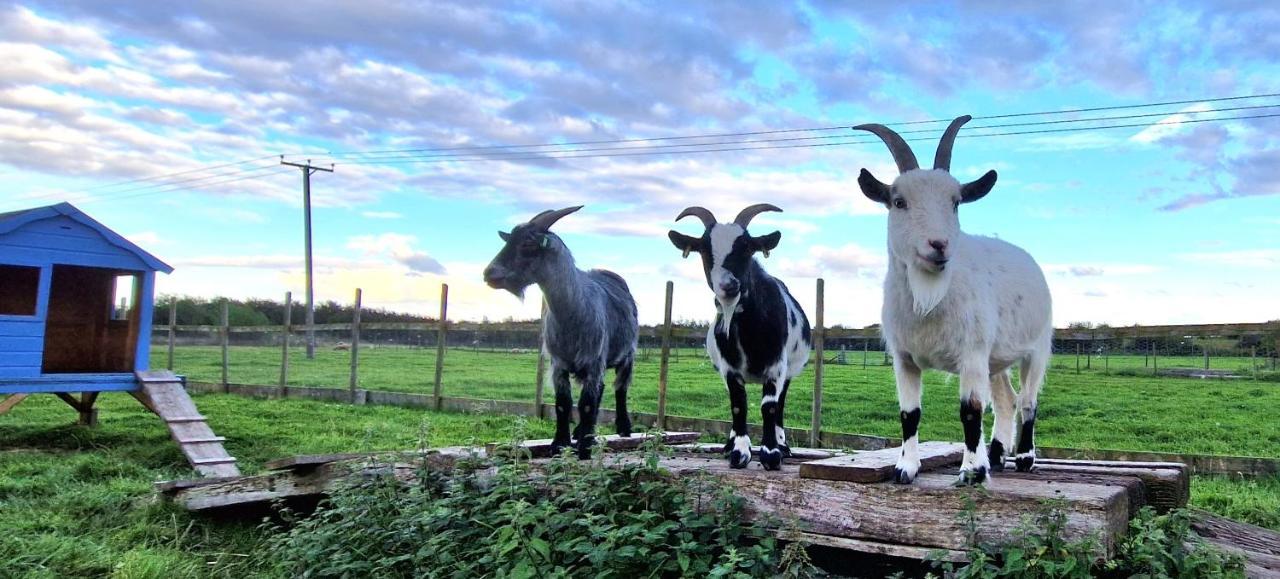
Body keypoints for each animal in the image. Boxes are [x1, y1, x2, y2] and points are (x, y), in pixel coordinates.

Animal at [481, 206, 640, 458]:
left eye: (527, 243)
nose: (489, 273)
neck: (572, 316)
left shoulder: (594, 360)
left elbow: (586, 403)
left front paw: (585, 448)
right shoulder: (558, 363)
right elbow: (563, 404)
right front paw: (560, 443)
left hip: (627, 355)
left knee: (619, 388)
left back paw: (623, 428)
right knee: (601, 390)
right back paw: (581, 431)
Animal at [670, 203, 808, 471]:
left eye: (747, 247)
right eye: (704, 249)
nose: (728, 285)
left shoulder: (777, 365)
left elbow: (770, 406)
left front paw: (771, 453)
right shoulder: (729, 368)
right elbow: (738, 404)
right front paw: (739, 452)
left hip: (790, 371)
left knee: (781, 405)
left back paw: (783, 446)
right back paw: (728, 445)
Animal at [855, 115, 1054, 486]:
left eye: (956, 202)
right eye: (899, 201)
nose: (939, 244)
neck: (930, 300)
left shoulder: (971, 354)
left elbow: (970, 411)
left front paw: (972, 471)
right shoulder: (904, 358)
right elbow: (909, 413)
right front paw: (906, 468)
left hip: (1037, 347)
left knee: (1028, 400)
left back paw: (1024, 457)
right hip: (996, 358)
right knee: (1006, 400)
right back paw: (997, 455)